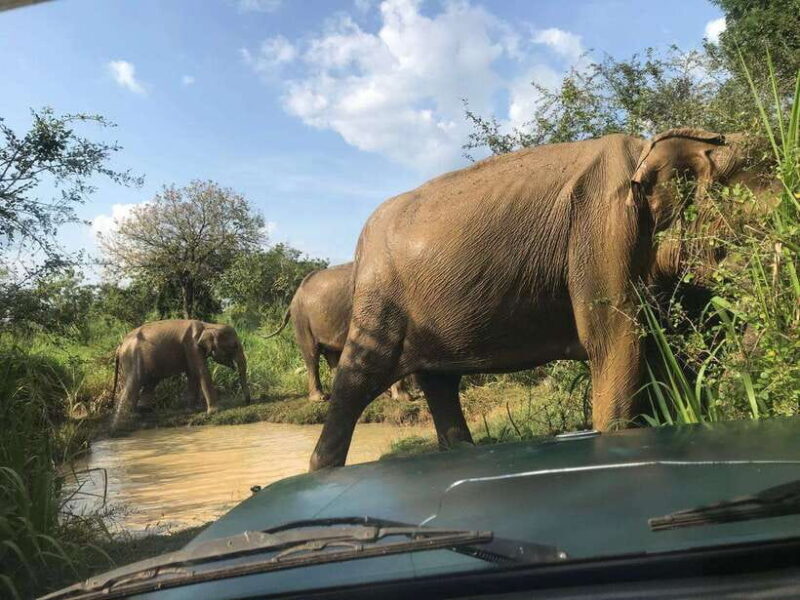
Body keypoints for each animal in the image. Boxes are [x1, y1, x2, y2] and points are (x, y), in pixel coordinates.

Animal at [110, 319, 250, 431]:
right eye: (234, 346)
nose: (247, 402)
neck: (208, 325)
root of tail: (120, 346)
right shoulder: (192, 346)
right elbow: (201, 371)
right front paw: (215, 411)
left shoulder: (192, 350)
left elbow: (193, 374)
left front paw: (192, 410)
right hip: (132, 359)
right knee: (132, 386)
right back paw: (121, 425)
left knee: (150, 384)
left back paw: (144, 415)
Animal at [266, 263, 415, 403]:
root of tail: (295, 296)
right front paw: (404, 398)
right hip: (302, 319)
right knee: (312, 355)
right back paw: (320, 398)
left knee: (332, 355)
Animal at [310, 128, 758, 471]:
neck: (646, 148)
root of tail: (360, 241)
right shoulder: (604, 234)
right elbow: (617, 343)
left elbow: (658, 350)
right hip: (380, 300)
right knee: (359, 377)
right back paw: (322, 472)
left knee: (440, 383)